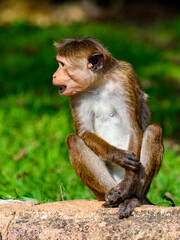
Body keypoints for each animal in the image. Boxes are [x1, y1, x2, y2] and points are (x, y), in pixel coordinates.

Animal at [52, 36, 165, 218]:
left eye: (62, 64)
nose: (54, 75)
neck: (98, 84)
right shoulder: (76, 95)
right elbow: (84, 132)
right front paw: (117, 156)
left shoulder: (124, 80)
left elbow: (133, 129)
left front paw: (128, 184)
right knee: (73, 141)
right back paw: (112, 196)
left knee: (154, 129)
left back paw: (132, 198)